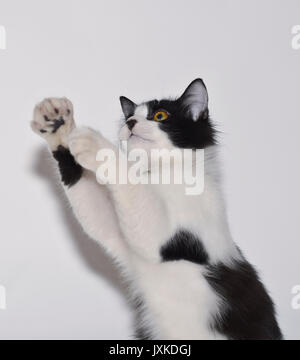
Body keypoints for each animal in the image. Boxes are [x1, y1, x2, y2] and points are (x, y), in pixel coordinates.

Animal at [31, 79, 284, 340]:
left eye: (160, 115)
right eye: (129, 116)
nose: (130, 123)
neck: (161, 175)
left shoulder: (172, 234)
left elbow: (131, 184)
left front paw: (94, 143)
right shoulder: (120, 236)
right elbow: (99, 220)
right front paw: (59, 127)